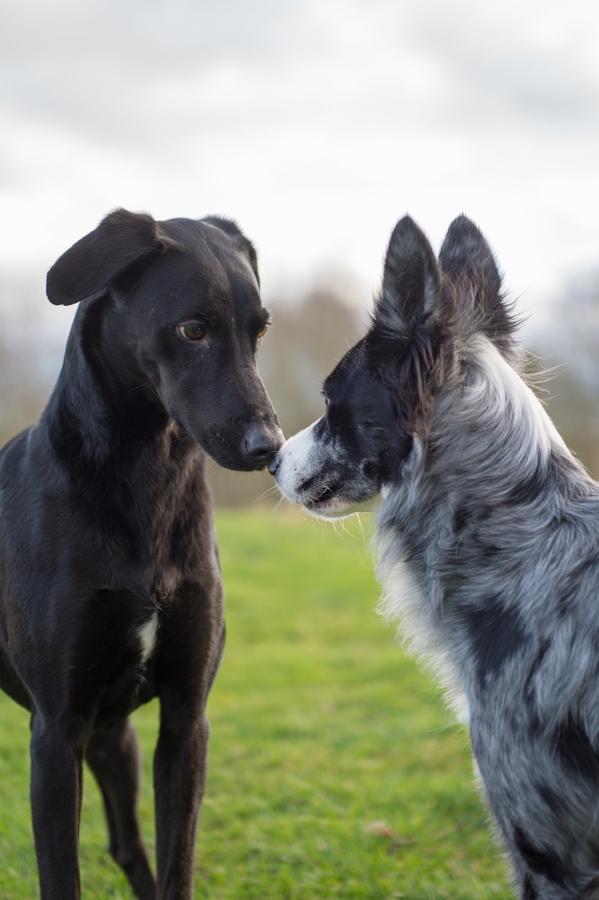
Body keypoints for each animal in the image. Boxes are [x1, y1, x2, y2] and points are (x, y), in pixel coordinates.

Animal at [0, 207, 284, 896]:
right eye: (192, 329)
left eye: (260, 330)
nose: (271, 447)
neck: (144, 480)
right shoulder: (55, 734)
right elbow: (60, 877)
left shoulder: (185, 719)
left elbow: (175, 862)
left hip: (114, 736)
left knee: (127, 845)